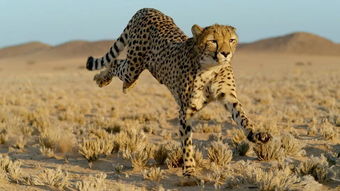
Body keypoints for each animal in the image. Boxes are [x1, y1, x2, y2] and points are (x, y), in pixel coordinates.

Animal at [86, 8, 272, 176]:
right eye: (213, 41)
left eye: (231, 40)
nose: (225, 53)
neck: (210, 67)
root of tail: (148, 9)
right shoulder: (186, 109)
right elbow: (186, 140)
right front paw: (189, 168)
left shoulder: (228, 96)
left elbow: (242, 117)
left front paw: (256, 134)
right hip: (134, 64)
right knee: (116, 63)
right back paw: (102, 78)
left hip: (138, 66)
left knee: (122, 66)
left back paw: (125, 85)